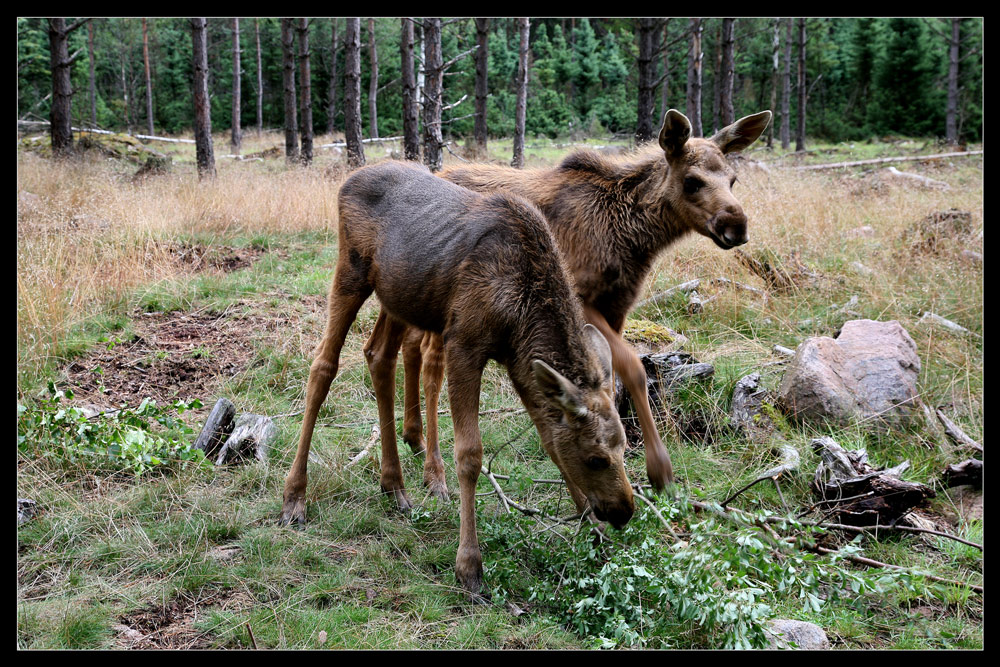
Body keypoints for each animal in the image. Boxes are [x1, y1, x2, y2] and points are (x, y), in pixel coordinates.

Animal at [278, 162, 632, 596]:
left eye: (624, 446)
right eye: (596, 459)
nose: (624, 510)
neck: (523, 310)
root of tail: (348, 180)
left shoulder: (518, 361)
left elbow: (549, 439)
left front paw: (593, 529)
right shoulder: (465, 342)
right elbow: (470, 454)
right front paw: (469, 565)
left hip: (399, 296)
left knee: (379, 355)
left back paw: (394, 485)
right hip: (351, 271)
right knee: (322, 366)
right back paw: (294, 497)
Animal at [398, 111, 772, 496]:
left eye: (733, 179)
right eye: (692, 181)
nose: (736, 226)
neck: (632, 238)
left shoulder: (618, 305)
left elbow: (612, 375)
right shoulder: (580, 295)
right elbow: (634, 368)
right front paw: (659, 468)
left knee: (409, 345)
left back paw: (414, 438)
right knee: (431, 362)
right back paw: (433, 471)